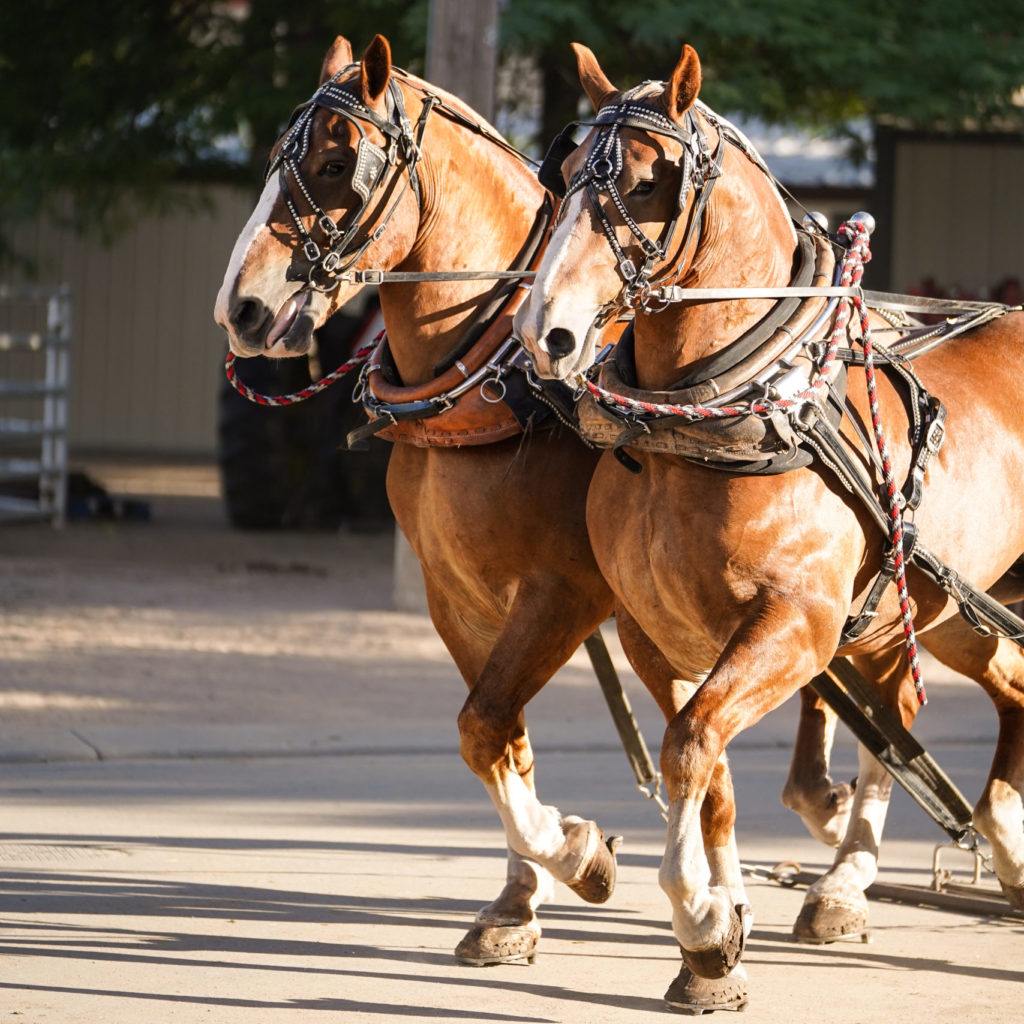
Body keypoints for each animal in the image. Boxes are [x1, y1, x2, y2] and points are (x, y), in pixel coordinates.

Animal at [520, 37, 1024, 1007]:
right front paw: (719, 934)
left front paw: (700, 921)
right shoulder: (656, 633)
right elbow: (709, 770)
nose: (544, 330)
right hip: (947, 608)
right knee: (995, 689)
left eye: (649, 182)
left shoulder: (798, 624)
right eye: (562, 173)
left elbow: (689, 747)